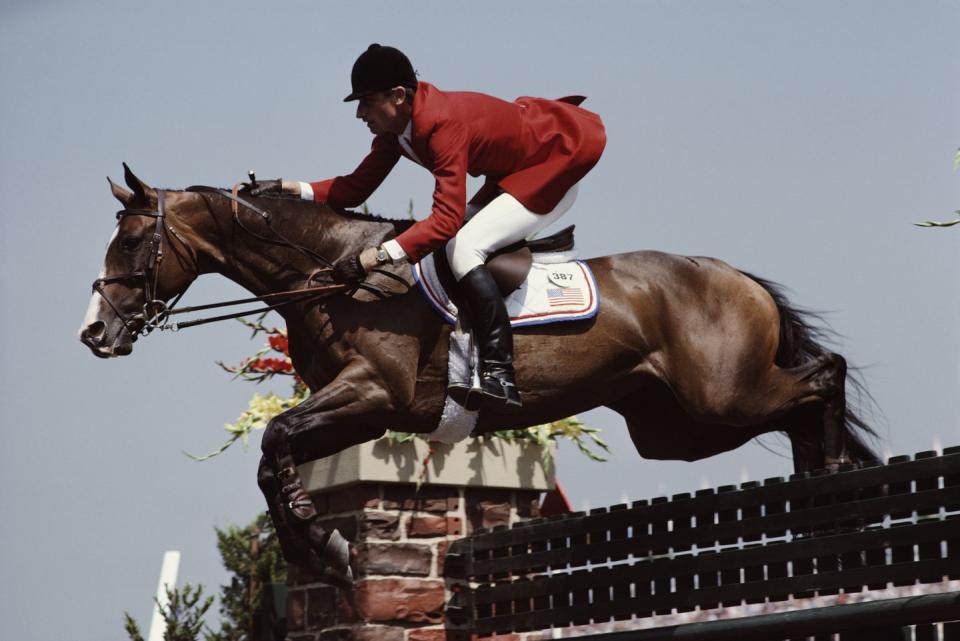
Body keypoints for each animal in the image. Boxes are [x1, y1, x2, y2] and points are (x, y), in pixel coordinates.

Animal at [80, 166, 876, 584]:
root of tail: (735, 276)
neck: (332, 273)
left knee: (824, 375)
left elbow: (274, 440)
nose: (95, 333)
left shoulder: (373, 394)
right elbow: (272, 458)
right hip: (676, 427)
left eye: (135, 241)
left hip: (720, 397)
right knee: (799, 404)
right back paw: (820, 494)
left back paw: (836, 480)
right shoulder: (354, 409)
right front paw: (324, 551)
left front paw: (321, 544)